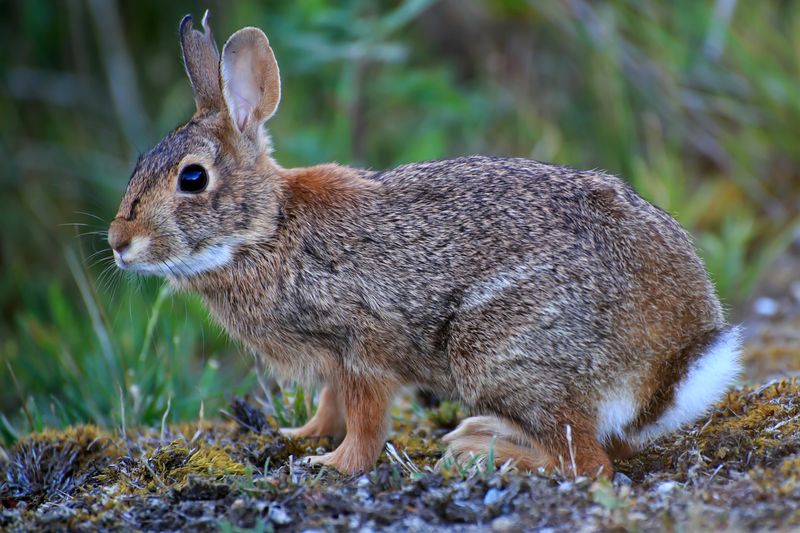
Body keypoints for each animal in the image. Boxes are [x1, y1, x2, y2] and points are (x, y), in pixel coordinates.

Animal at [108, 13, 744, 478]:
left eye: (193, 179)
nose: (119, 243)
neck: (266, 231)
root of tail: (670, 365)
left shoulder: (362, 347)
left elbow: (366, 421)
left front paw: (333, 464)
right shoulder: (334, 361)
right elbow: (331, 405)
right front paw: (301, 435)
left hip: (500, 354)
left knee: (589, 463)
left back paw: (482, 452)